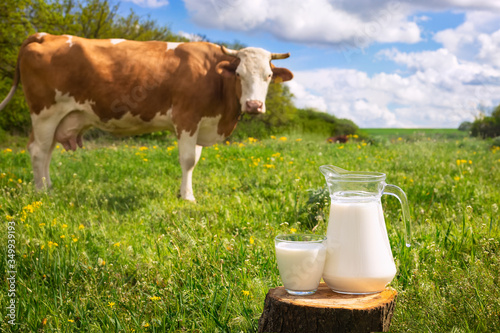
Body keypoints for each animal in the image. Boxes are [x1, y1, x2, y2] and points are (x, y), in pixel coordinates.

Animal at [0, 33, 292, 200]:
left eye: (268, 75)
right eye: (239, 74)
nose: (254, 105)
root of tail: (46, 35)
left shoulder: (201, 123)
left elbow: (194, 160)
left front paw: (183, 192)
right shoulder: (186, 117)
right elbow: (187, 160)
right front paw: (188, 199)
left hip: (57, 118)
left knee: (47, 151)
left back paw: (48, 187)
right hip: (45, 112)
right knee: (39, 151)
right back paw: (43, 193)